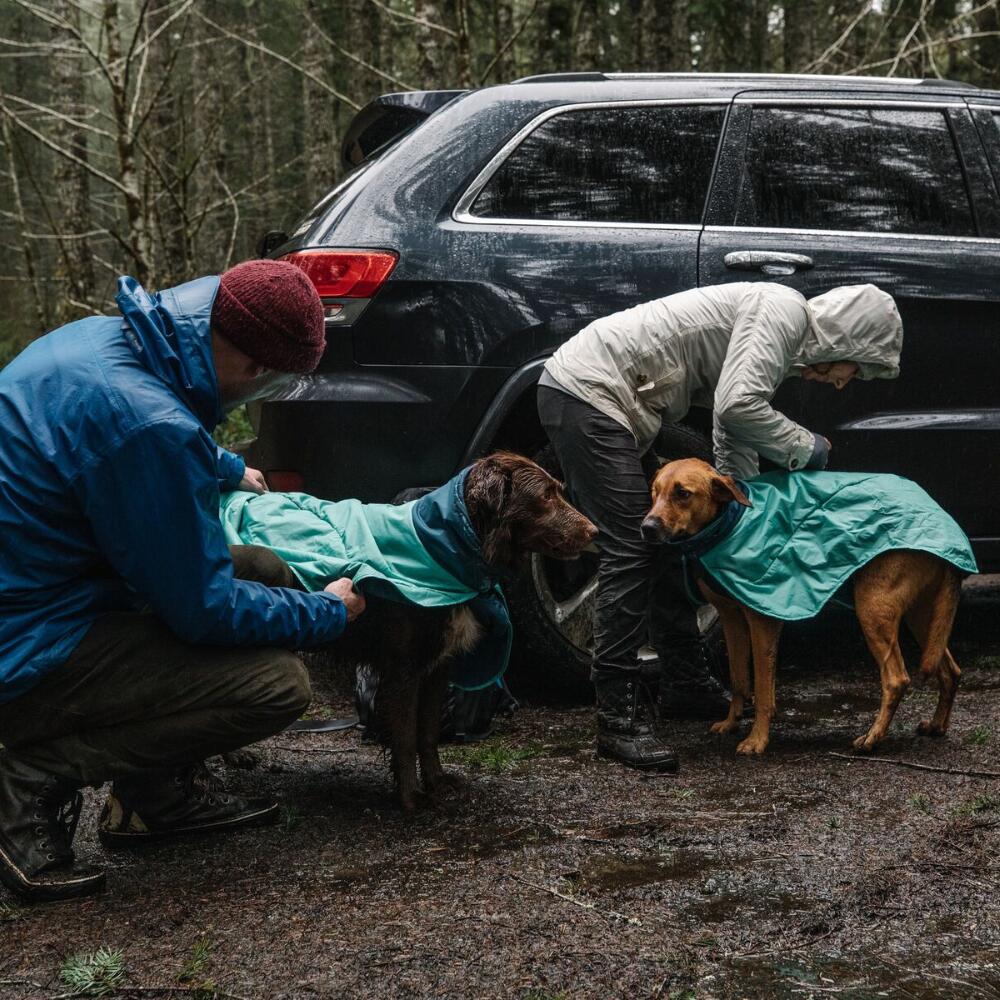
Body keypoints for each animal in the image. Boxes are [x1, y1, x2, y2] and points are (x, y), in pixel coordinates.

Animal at [640, 460, 960, 756]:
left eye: (683, 493)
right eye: (654, 492)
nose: (647, 528)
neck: (732, 522)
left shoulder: (762, 621)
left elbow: (763, 690)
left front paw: (757, 740)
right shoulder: (732, 618)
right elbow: (739, 679)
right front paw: (731, 723)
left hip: (874, 610)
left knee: (896, 679)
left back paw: (872, 738)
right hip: (923, 616)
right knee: (950, 670)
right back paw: (936, 725)